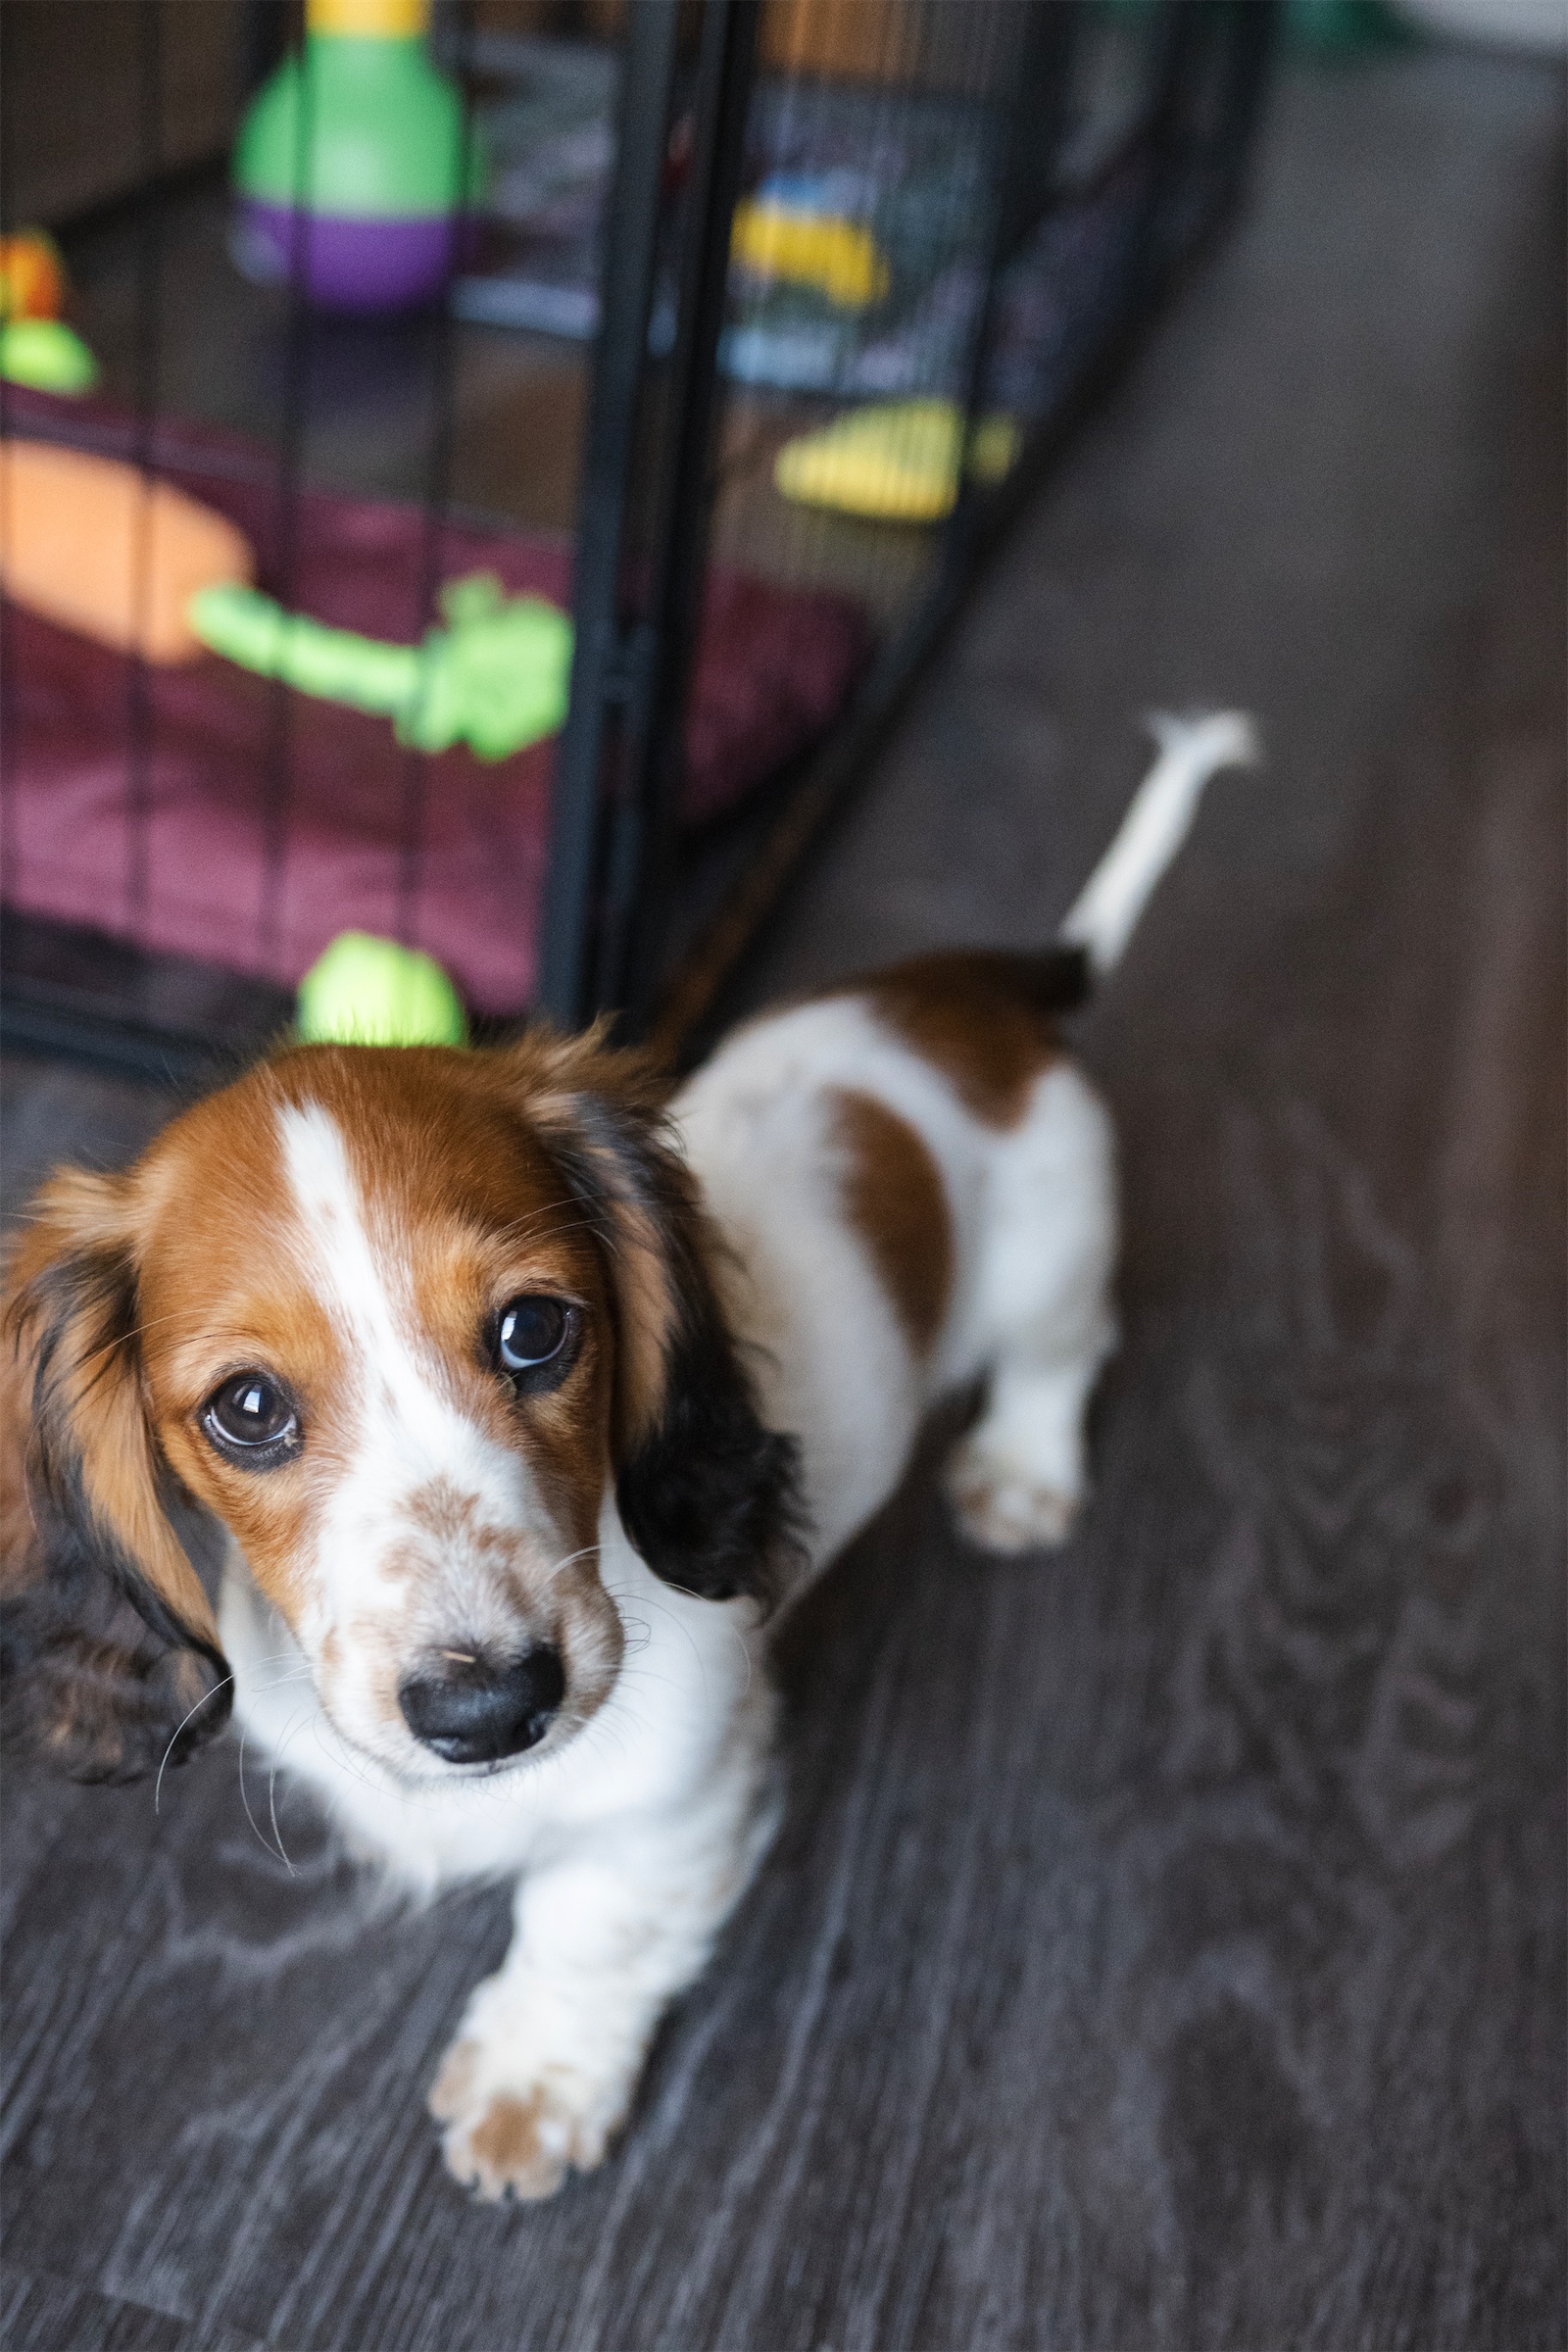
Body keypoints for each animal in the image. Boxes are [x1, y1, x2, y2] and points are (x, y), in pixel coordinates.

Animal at [0, 706, 1250, 2191]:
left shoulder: (684, 1787)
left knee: (1066, 1354)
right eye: (248, 1410)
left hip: (1054, 1260)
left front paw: (535, 2078)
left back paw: (1024, 1471)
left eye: (536, 1329)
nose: (489, 1708)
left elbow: (590, 1918)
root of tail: (973, 1006)